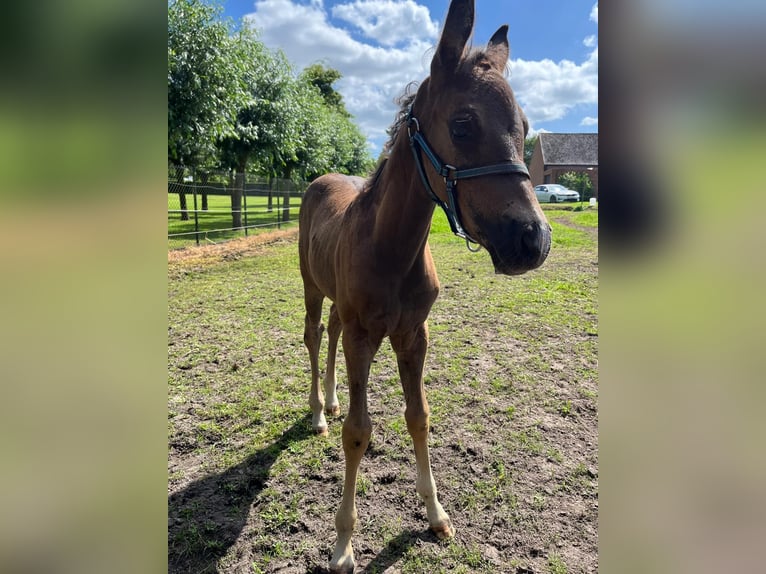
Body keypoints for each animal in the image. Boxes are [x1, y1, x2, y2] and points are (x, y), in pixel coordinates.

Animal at [300, 1, 552, 572]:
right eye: (462, 123)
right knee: (314, 335)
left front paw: (436, 514)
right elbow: (358, 432)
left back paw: (330, 401)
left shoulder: (414, 334)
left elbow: (419, 417)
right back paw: (319, 412)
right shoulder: (364, 336)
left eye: (525, 127)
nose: (534, 239)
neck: (392, 249)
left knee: (328, 334)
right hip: (312, 288)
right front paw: (343, 544)